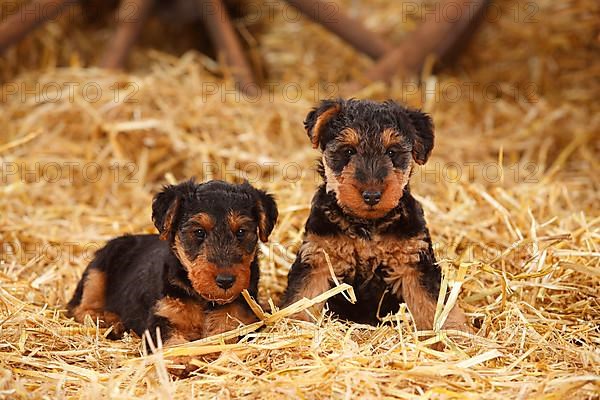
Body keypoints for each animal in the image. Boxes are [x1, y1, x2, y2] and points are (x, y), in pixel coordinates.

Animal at [68, 180, 278, 348]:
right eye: (199, 232)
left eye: (241, 232)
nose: (225, 281)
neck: (203, 299)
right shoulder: (163, 317)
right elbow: (171, 344)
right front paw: (180, 362)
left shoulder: (241, 317)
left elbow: (224, 333)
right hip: (98, 268)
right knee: (79, 308)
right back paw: (108, 320)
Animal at [284, 98, 472, 332]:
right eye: (348, 151)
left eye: (392, 152)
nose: (372, 195)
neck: (367, 225)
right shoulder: (318, 259)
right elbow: (301, 300)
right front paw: (291, 328)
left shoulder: (413, 262)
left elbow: (433, 304)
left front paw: (453, 334)